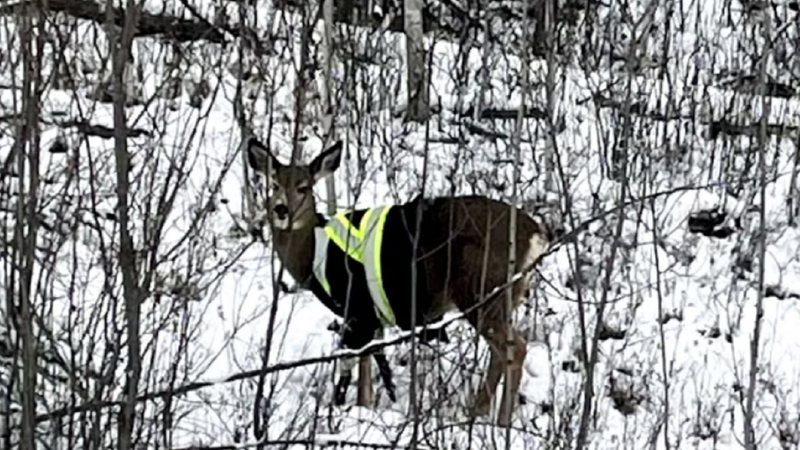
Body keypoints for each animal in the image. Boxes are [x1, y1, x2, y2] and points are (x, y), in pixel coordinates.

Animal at [244, 136, 556, 426]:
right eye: (274, 185)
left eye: (303, 187)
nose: (281, 210)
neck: (312, 253)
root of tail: (536, 235)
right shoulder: (370, 314)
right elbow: (370, 360)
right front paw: (367, 407)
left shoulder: (356, 305)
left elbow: (359, 361)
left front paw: (357, 408)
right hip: (502, 295)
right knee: (504, 350)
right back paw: (483, 414)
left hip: (481, 289)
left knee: (515, 347)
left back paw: (495, 421)